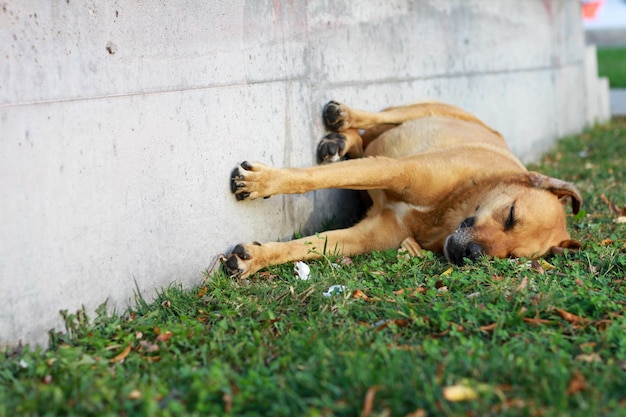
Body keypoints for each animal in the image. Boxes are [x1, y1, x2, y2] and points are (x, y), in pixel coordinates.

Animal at [224, 99, 580, 278]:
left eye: (511, 257)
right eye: (511, 215)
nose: (471, 255)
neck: (447, 209)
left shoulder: (365, 236)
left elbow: (308, 246)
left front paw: (255, 258)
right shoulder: (393, 169)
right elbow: (312, 178)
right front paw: (263, 182)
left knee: (364, 143)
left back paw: (340, 141)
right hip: (423, 111)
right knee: (377, 120)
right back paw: (343, 117)